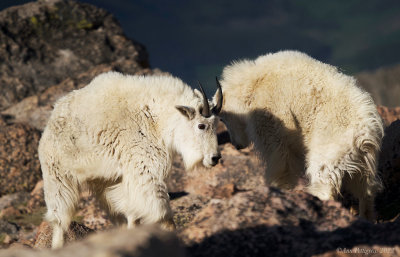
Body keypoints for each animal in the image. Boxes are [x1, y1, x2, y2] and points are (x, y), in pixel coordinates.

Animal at [38, 71, 223, 247]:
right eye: (201, 125)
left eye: (216, 124)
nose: (215, 158)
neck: (155, 119)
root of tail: (52, 119)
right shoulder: (144, 168)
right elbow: (160, 212)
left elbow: (134, 212)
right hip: (57, 175)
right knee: (59, 217)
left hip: (105, 181)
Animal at [216, 50, 384, 220]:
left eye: (221, 118)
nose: (237, 145)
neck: (253, 84)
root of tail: (364, 135)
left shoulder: (270, 123)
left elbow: (280, 161)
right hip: (361, 159)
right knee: (366, 189)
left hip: (331, 150)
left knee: (324, 181)